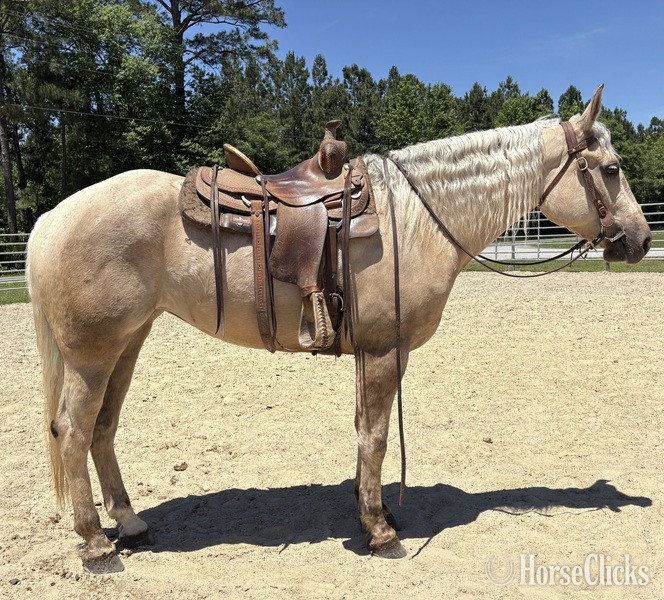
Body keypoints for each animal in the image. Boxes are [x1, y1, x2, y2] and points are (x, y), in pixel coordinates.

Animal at [26, 85, 651, 573]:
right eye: (612, 169)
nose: (642, 241)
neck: (415, 220)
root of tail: (54, 216)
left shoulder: (371, 353)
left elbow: (362, 430)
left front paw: (371, 509)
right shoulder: (383, 351)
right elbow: (375, 436)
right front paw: (380, 531)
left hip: (126, 344)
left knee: (103, 430)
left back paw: (129, 524)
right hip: (92, 354)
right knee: (74, 431)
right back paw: (96, 545)